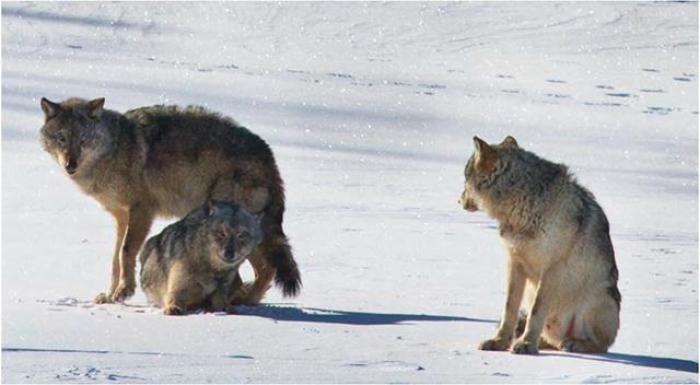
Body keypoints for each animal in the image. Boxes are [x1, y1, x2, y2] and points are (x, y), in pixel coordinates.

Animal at [39, 95, 300, 304]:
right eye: (62, 138)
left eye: (84, 139)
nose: (70, 165)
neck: (115, 150)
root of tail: (268, 153)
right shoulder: (121, 216)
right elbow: (115, 259)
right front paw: (110, 296)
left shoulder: (142, 210)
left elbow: (125, 252)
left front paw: (124, 291)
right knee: (265, 270)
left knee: (265, 269)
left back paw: (242, 299)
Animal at [462, 136, 620, 354]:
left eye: (464, 179)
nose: (459, 200)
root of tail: (561, 335)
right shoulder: (514, 263)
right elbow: (509, 309)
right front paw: (500, 342)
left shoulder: (552, 269)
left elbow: (536, 311)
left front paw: (526, 344)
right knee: (549, 338)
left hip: (598, 301)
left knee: (601, 347)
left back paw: (574, 343)